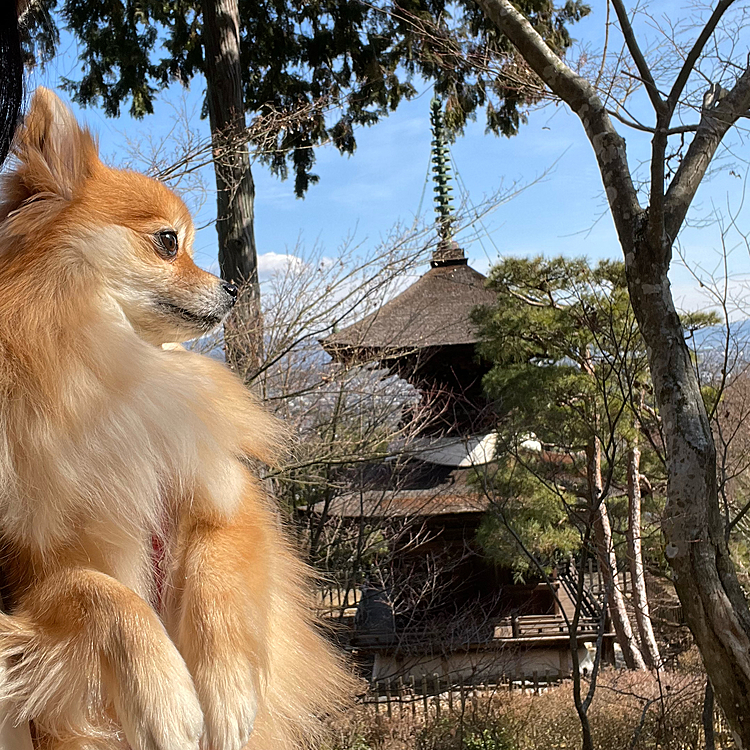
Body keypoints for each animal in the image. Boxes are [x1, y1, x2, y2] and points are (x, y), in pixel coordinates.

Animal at [0, 89, 350, 750]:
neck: (114, 371)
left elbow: (220, 570)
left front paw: (226, 691)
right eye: (168, 242)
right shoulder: (31, 574)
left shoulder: (222, 492)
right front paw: (165, 694)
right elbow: (102, 593)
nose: (233, 290)